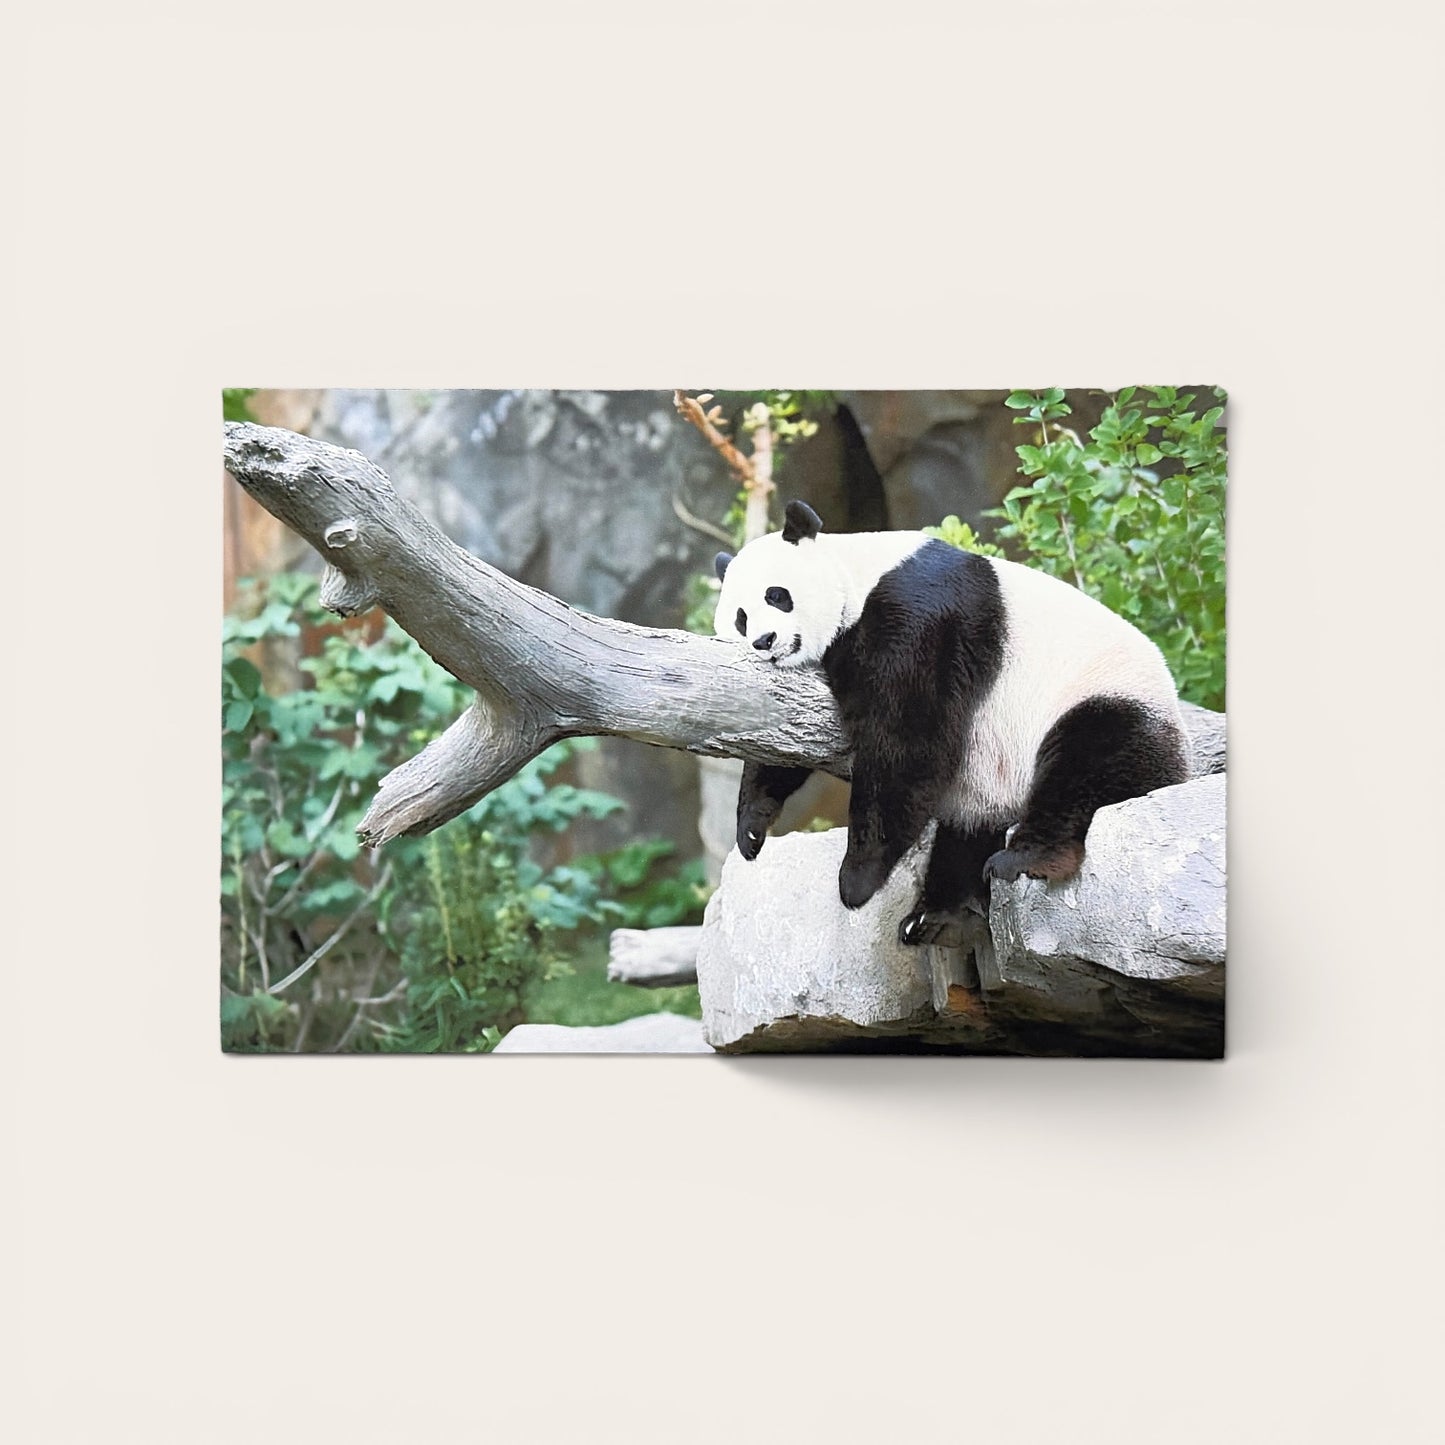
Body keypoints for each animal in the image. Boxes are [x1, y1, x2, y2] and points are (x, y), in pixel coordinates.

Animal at [712, 500, 1189, 946]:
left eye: (777, 595)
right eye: (740, 618)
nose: (765, 641)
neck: (857, 575)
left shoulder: (920, 616)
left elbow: (909, 740)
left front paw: (856, 880)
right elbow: (784, 733)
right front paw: (751, 827)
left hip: (1103, 698)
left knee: (1085, 765)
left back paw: (1023, 860)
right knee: (968, 832)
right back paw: (937, 913)